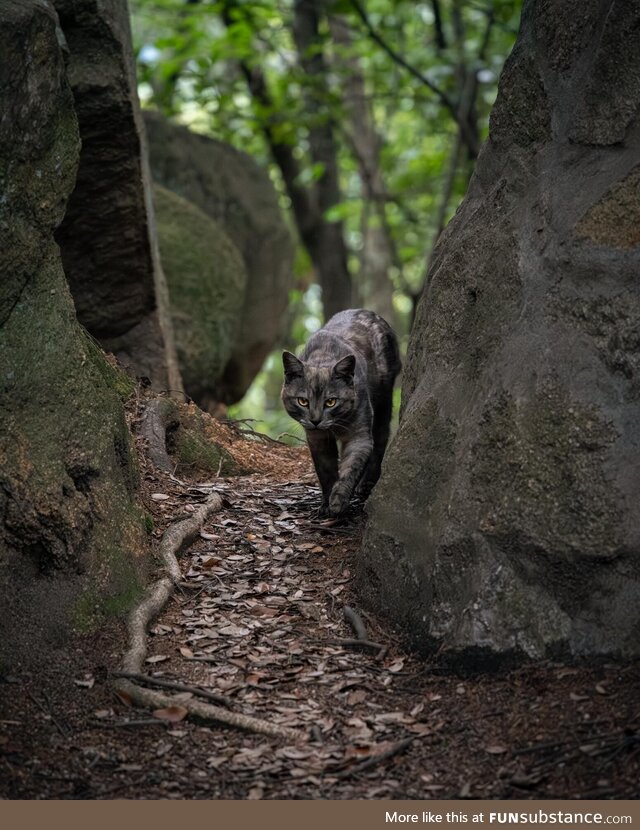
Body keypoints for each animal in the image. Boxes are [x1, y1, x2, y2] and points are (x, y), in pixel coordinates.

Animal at [282, 308, 400, 516]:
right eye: (303, 401)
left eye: (331, 401)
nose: (315, 420)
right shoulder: (318, 440)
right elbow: (326, 471)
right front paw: (326, 504)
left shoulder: (359, 436)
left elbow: (350, 468)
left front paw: (339, 500)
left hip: (383, 401)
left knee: (381, 438)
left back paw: (366, 484)